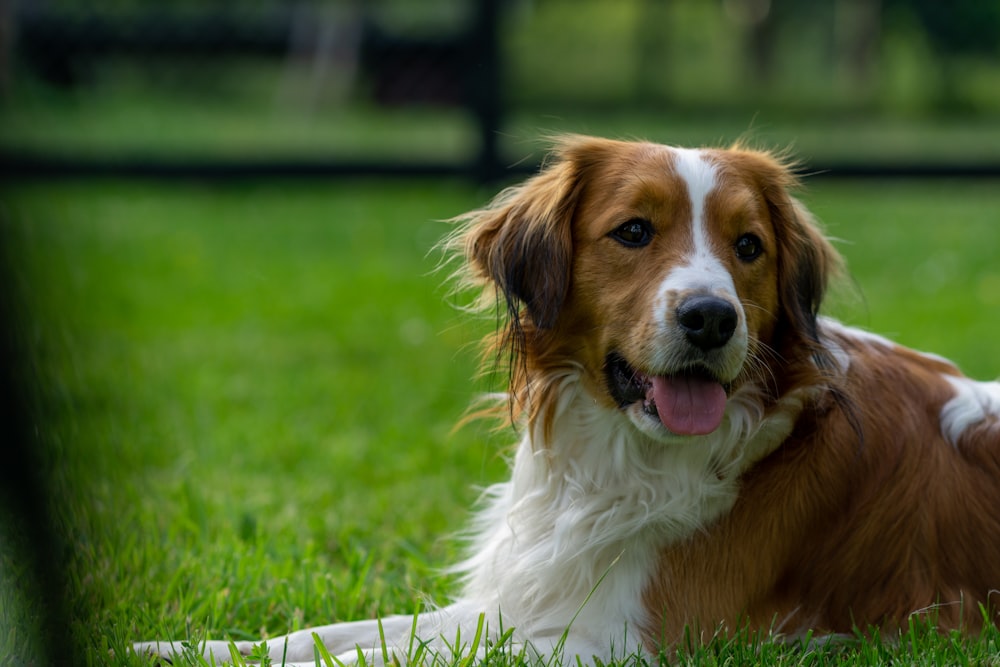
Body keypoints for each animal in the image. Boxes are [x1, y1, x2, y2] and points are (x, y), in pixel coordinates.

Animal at [135, 134, 1000, 664]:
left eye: (749, 246)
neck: (623, 457)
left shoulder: (629, 640)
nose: (712, 317)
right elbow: (329, 634)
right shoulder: (520, 596)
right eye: (634, 231)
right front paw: (177, 647)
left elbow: (380, 655)